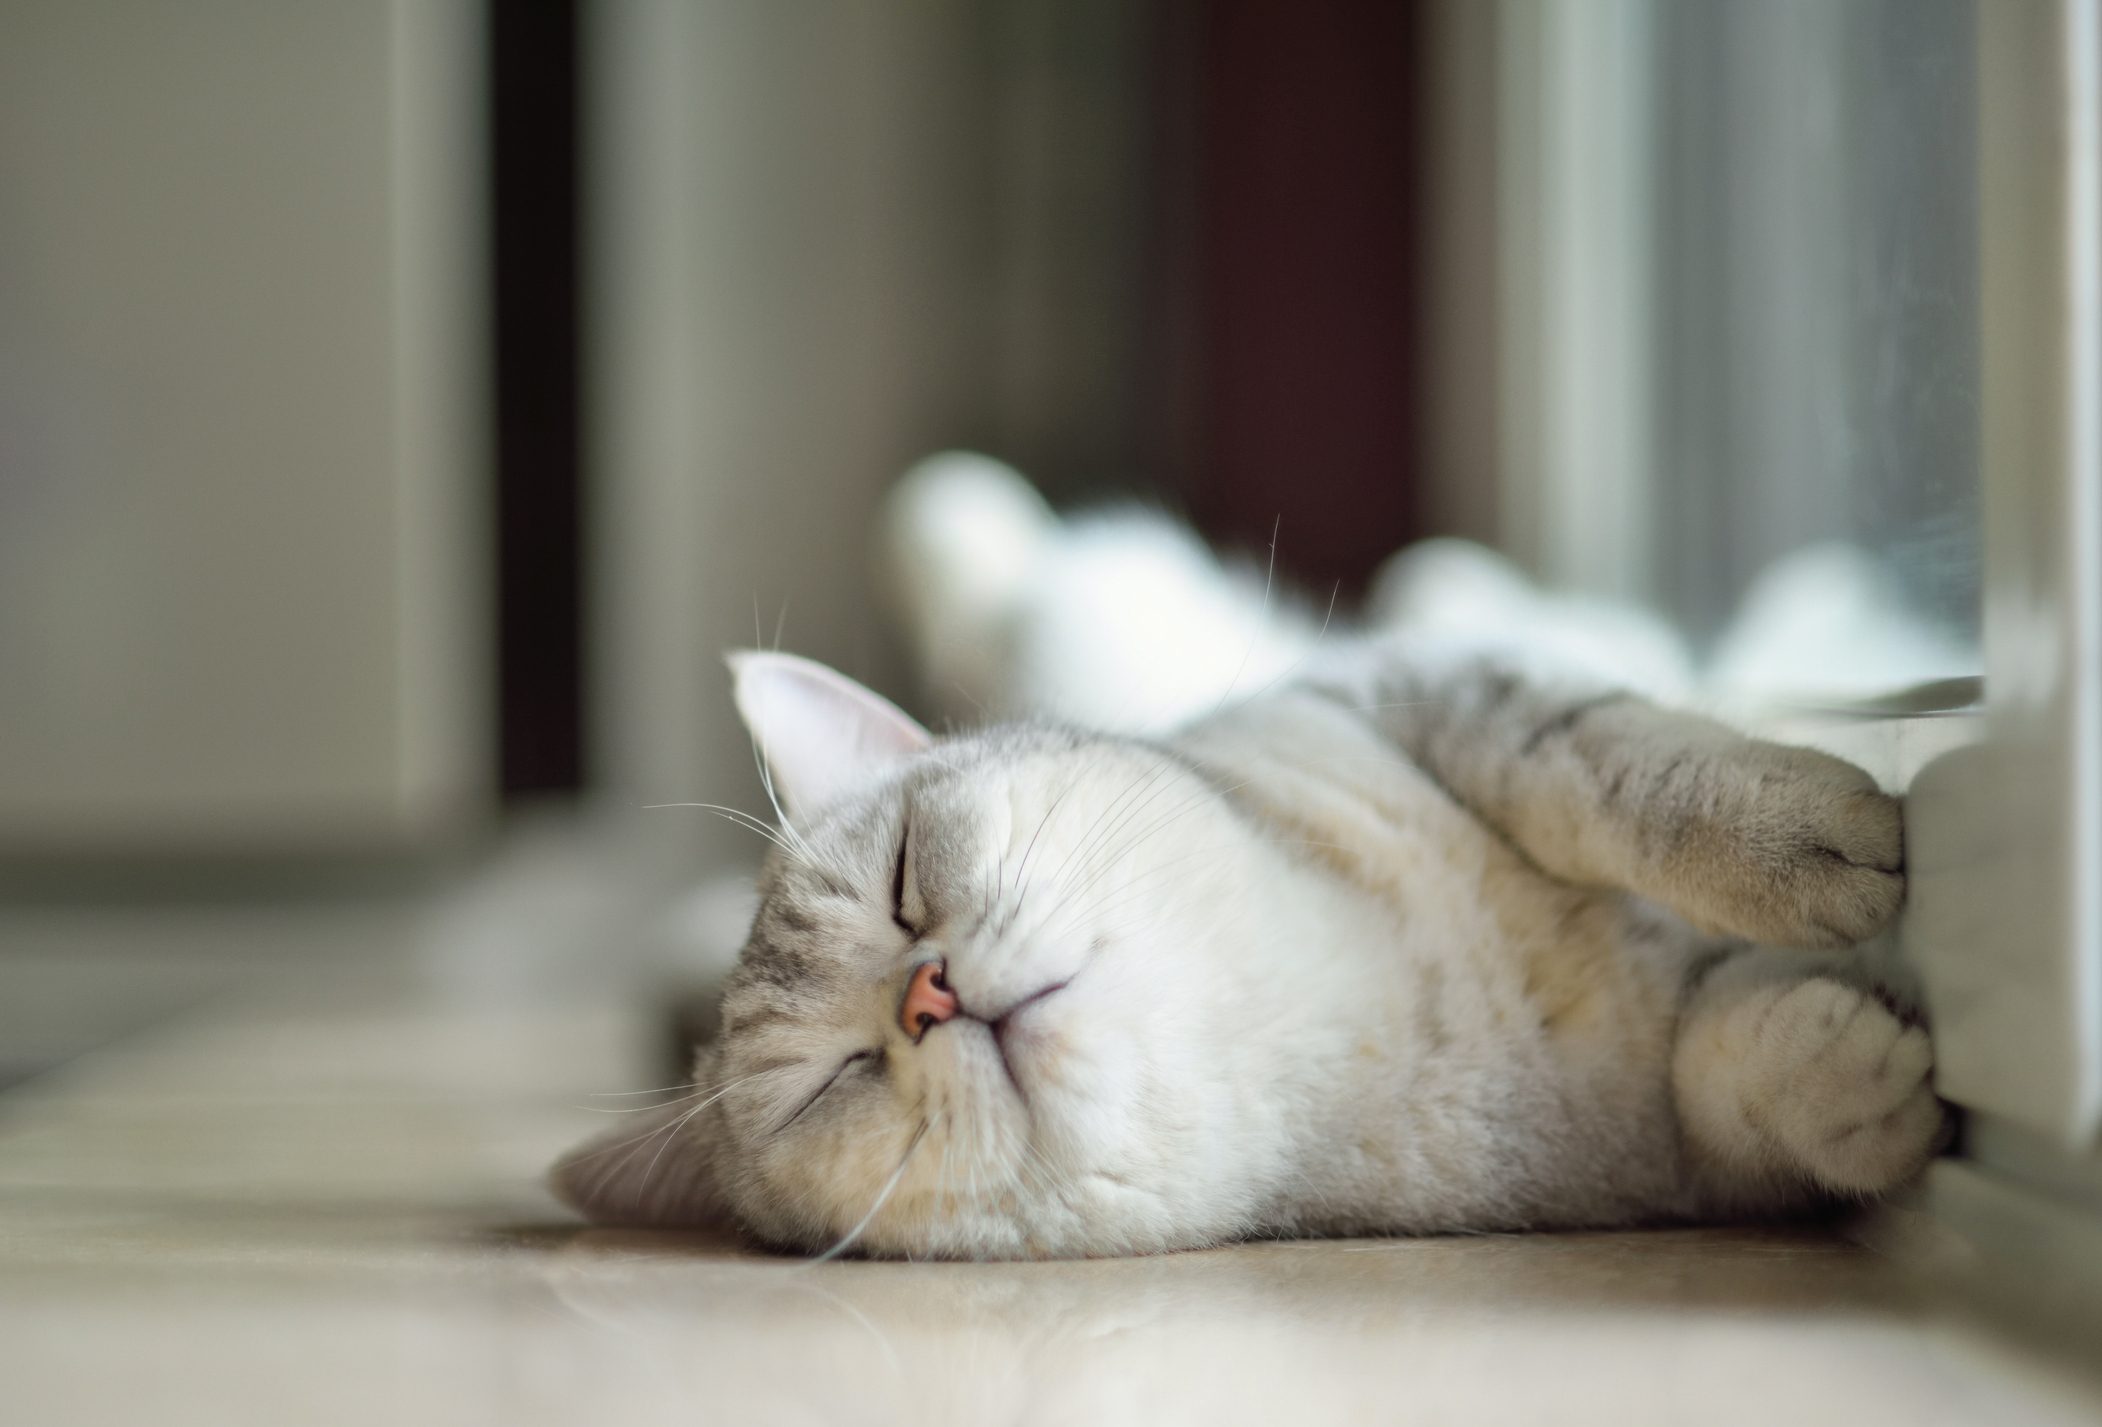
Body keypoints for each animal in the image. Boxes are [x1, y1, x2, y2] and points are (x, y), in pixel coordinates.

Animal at [554, 634, 1933, 1260]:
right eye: (826, 1082)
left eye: (901, 883)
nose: (927, 996)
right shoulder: (1654, 1158)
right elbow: (1717, 1076)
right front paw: (1851, 1080)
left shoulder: (1412, 686)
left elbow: (1600, 766)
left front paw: (1804, 832)